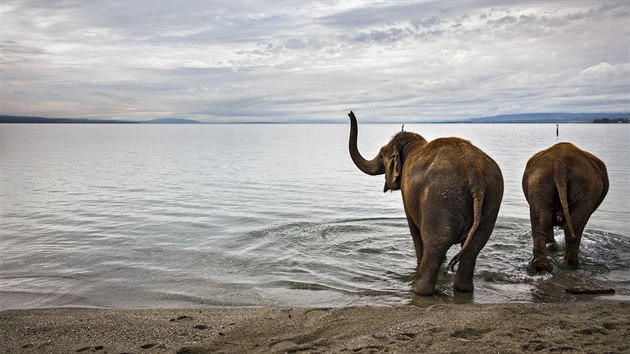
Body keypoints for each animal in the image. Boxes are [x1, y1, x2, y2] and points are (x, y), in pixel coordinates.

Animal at [348, 112, 506, 294]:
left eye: (382, 153)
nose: (350, 113)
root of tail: (474, 173)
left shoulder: (407, 195)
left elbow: (414, 230)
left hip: (442, 199)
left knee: (436, 244)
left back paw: (419, 290)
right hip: (492, 197)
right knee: (474, 246)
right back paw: (463, 289)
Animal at [524, 142, 612, 272]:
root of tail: (560, 162)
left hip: (539, 181)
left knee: (541, 222)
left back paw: (541, 266)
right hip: (586, 187)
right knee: (575, 228)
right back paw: (572, 264)